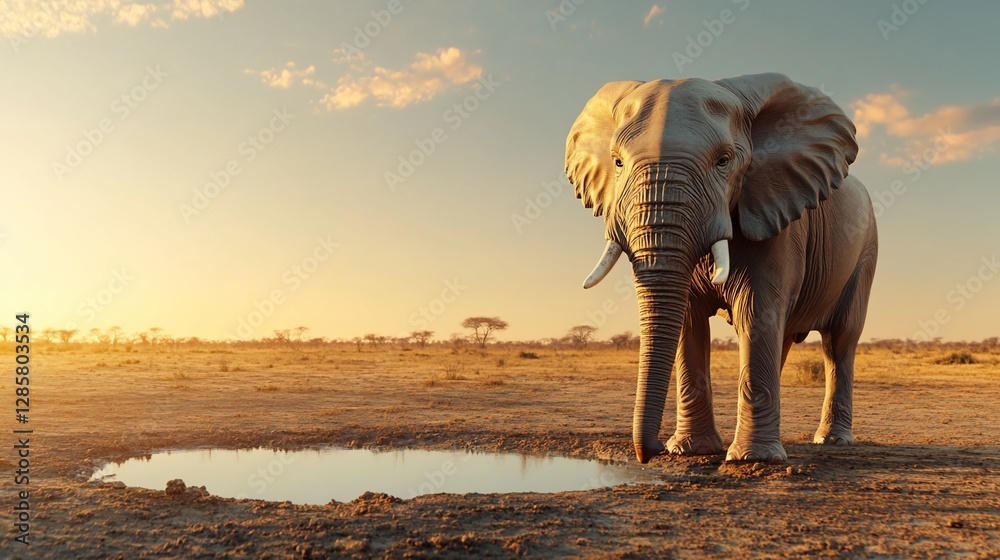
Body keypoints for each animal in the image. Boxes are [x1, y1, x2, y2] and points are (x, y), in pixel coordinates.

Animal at [564, 73, 878, 463]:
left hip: (866, 249)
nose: (651, 452)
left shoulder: (774, 216)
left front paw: (752, 459)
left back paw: (831, 441)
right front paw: (690, 451)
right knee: (786, 335)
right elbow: (689, 319)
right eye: (617, 162)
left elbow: (756, 309)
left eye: (724, 161)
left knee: (840, 341)